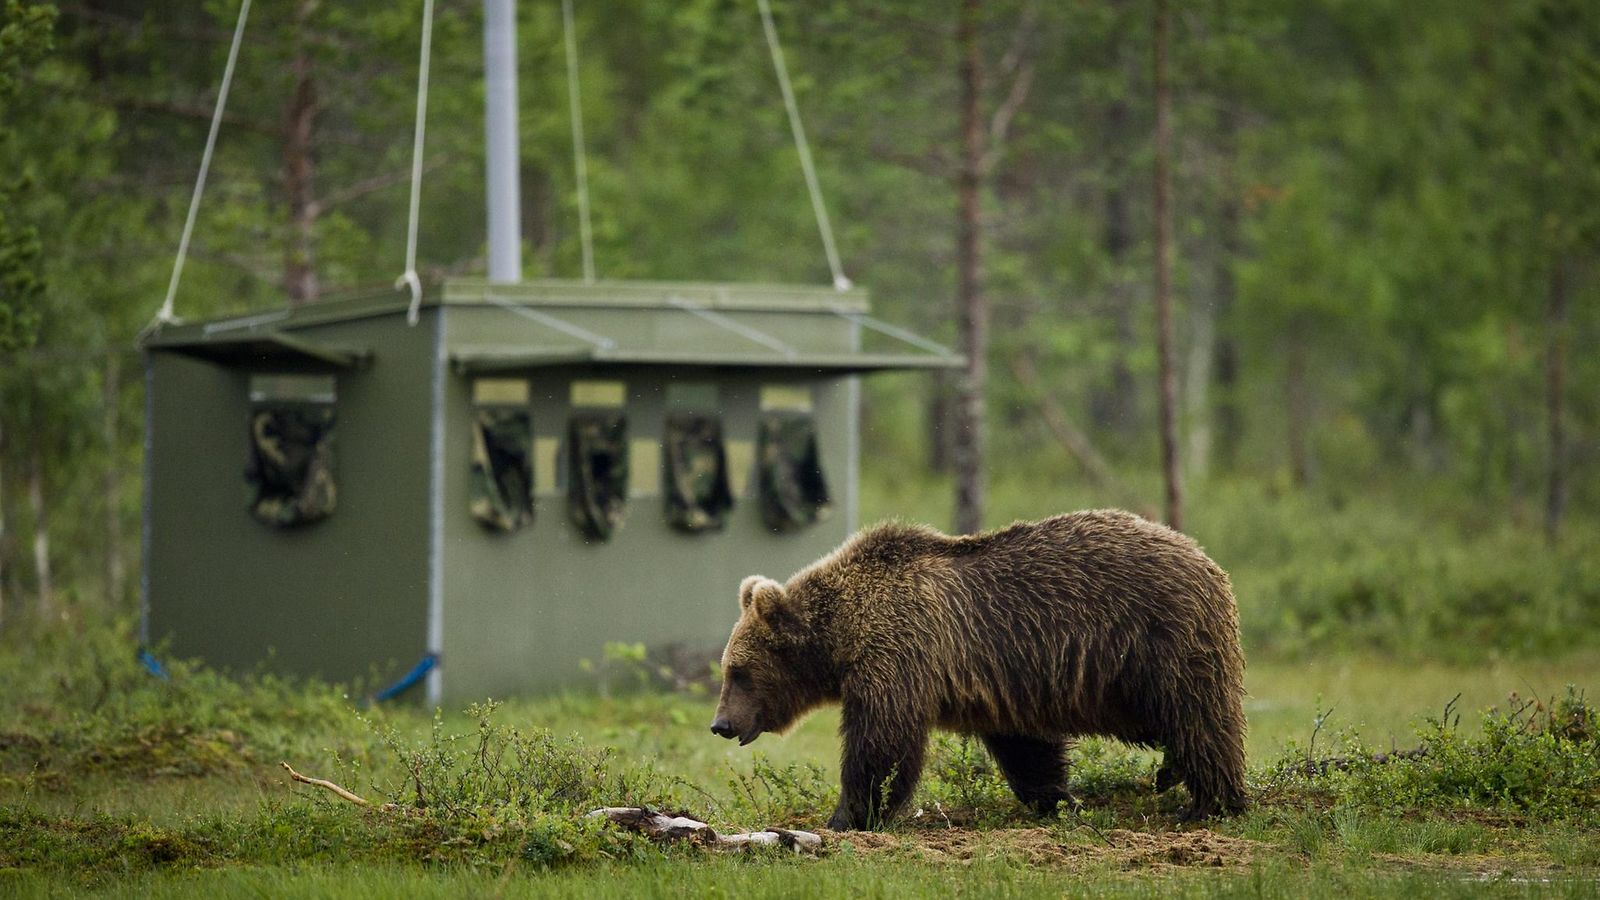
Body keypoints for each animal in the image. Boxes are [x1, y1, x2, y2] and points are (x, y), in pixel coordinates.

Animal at [710, 509, 1248, 832]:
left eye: (739, 671)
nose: (721, 724)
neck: (842, 635)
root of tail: (1205, 558)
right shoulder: (1001, 680)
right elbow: (1026, 747)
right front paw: (1057, 799)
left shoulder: (899, 652)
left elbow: (882, 742)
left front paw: (846, 816)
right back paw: (1173, 775)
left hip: (1161, 640)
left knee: (1199, 718)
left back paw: (1206, 804)